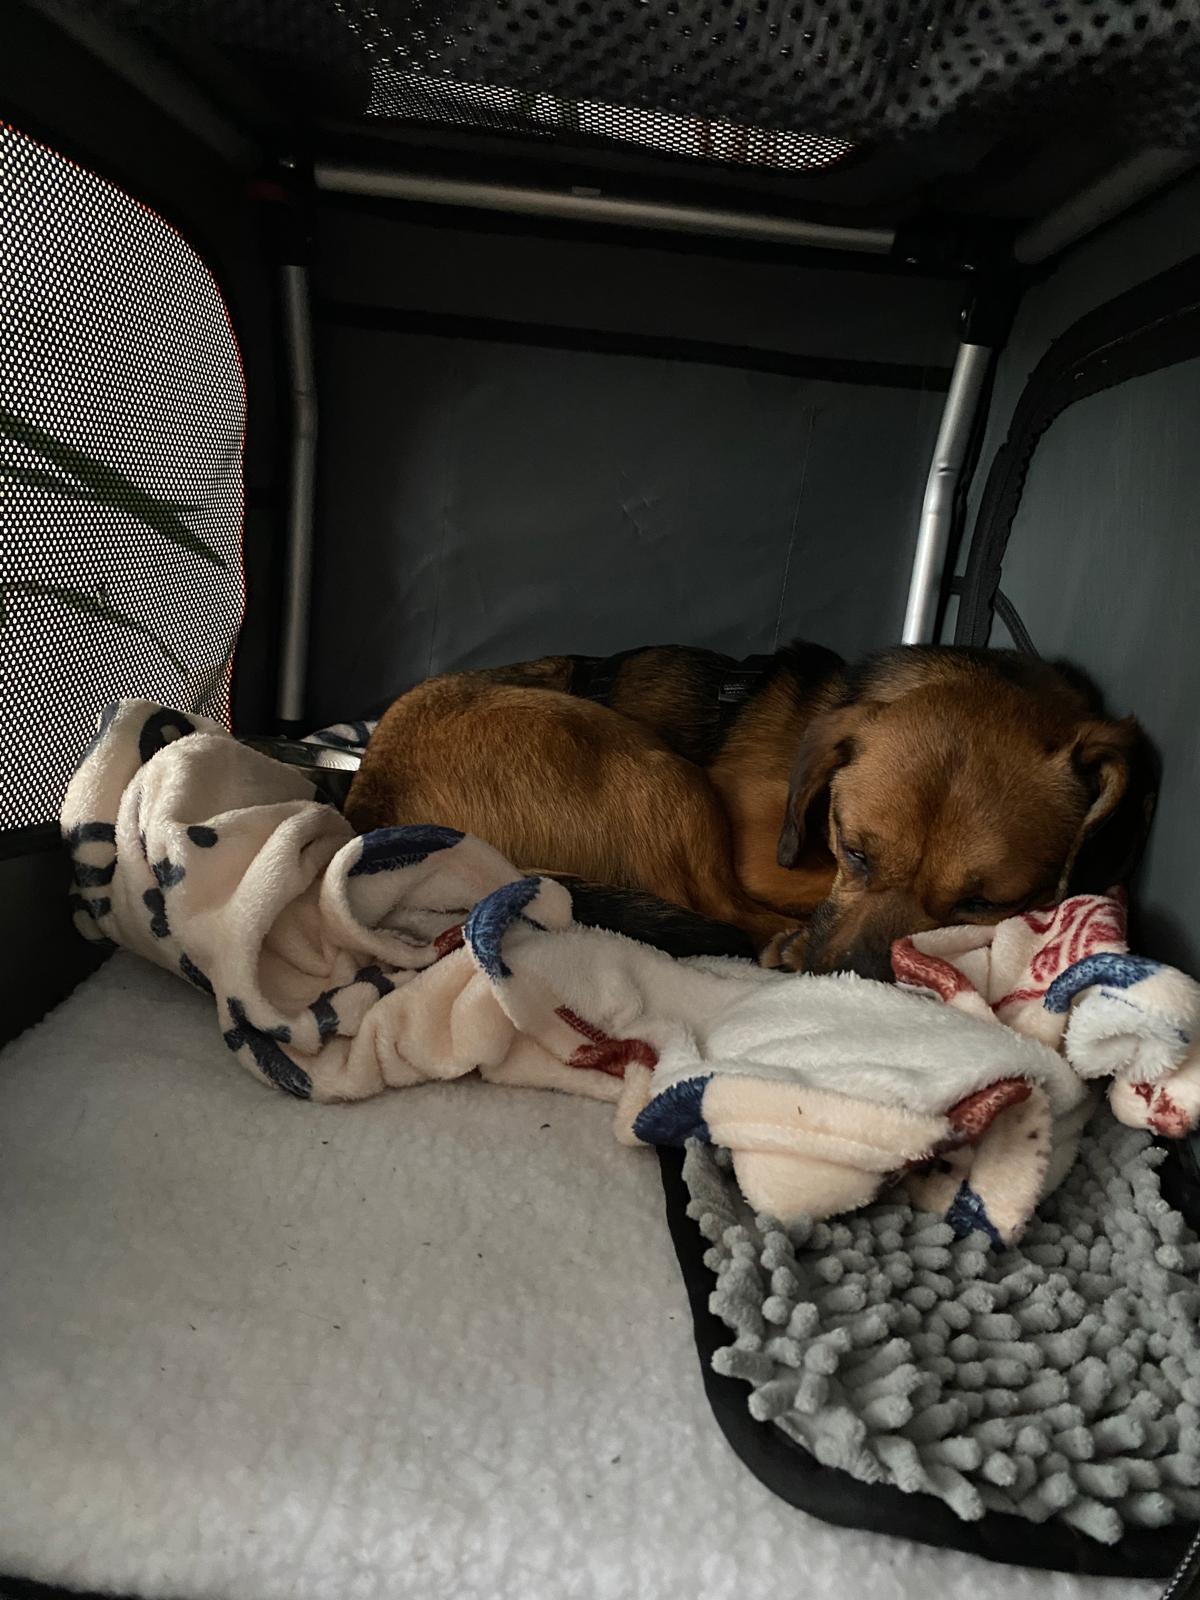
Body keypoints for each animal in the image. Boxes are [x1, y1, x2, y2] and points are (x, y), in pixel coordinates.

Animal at [346, 643, 1157, 980]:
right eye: (853, 849)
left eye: (988, 903)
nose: (848, 977)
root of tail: (371, 797)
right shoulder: (767, 852)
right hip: (658, 774)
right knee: (716, 908)